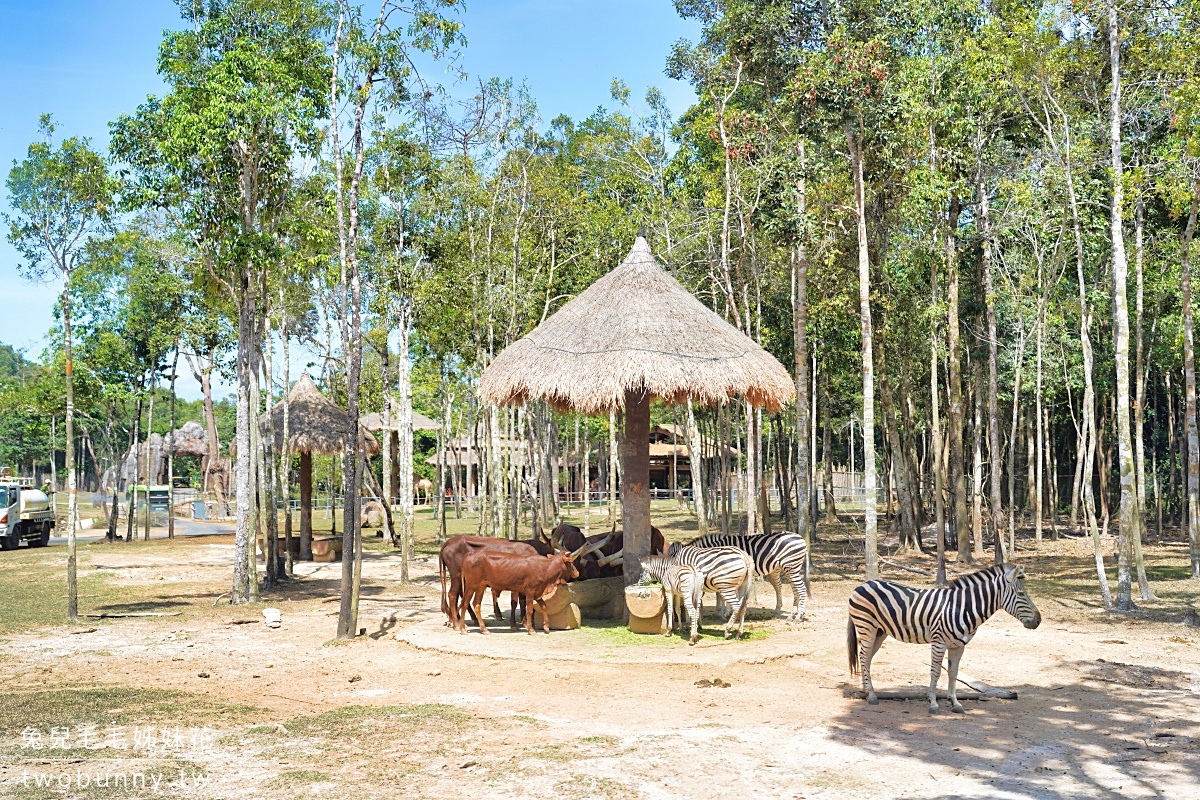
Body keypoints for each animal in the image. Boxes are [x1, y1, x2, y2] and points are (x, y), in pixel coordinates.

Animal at [844, 563, 1041, 714]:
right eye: (1021, 594)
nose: (1039, 620)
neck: (961, 607)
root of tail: (863, 584)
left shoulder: (958, 645)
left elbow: (953, 672)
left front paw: (955, 703)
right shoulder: (939, 642)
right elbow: (936, 672)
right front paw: (933, 704)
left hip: (880, 631)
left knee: (866, 658)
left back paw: (866, 689)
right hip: (866, 627)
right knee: (864, 656)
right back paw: (871, 695)